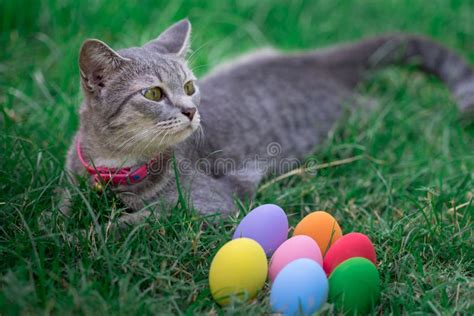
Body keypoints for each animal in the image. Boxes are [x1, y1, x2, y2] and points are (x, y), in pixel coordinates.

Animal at [62, 19, 474, 225]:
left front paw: (95, 233)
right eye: (152, 93)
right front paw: (61, 229)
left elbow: (145, 219)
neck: (117, 167)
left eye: (190, 86)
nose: (191, 110)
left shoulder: (209, 203)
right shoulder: (71, 178)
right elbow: (60, 206)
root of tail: (315, 61)